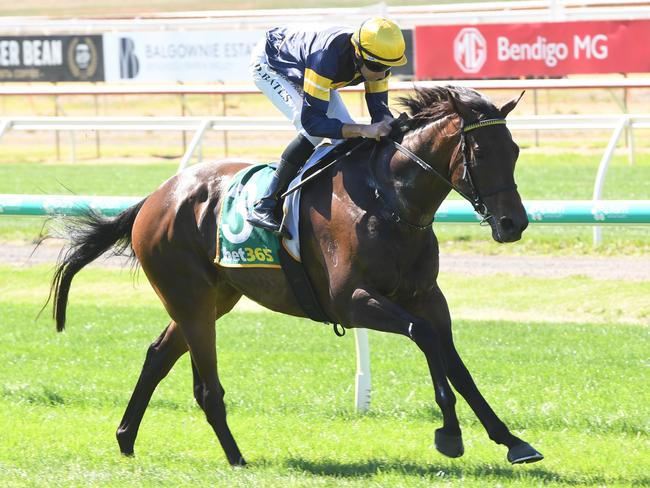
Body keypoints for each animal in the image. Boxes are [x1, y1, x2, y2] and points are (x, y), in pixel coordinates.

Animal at [48, 86, 540, 468]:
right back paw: (236, 458)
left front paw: (512, 441)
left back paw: (126, 439)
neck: (387, 200)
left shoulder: (426, 296)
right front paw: (450, 433)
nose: (513, 223)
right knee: (206, 387)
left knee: (157, 356)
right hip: (190, 299)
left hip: (213, 298)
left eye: (515, 151)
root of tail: (154, 197)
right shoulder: (352, 300)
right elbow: (425, 337)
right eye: (480, 152)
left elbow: (455, 361)